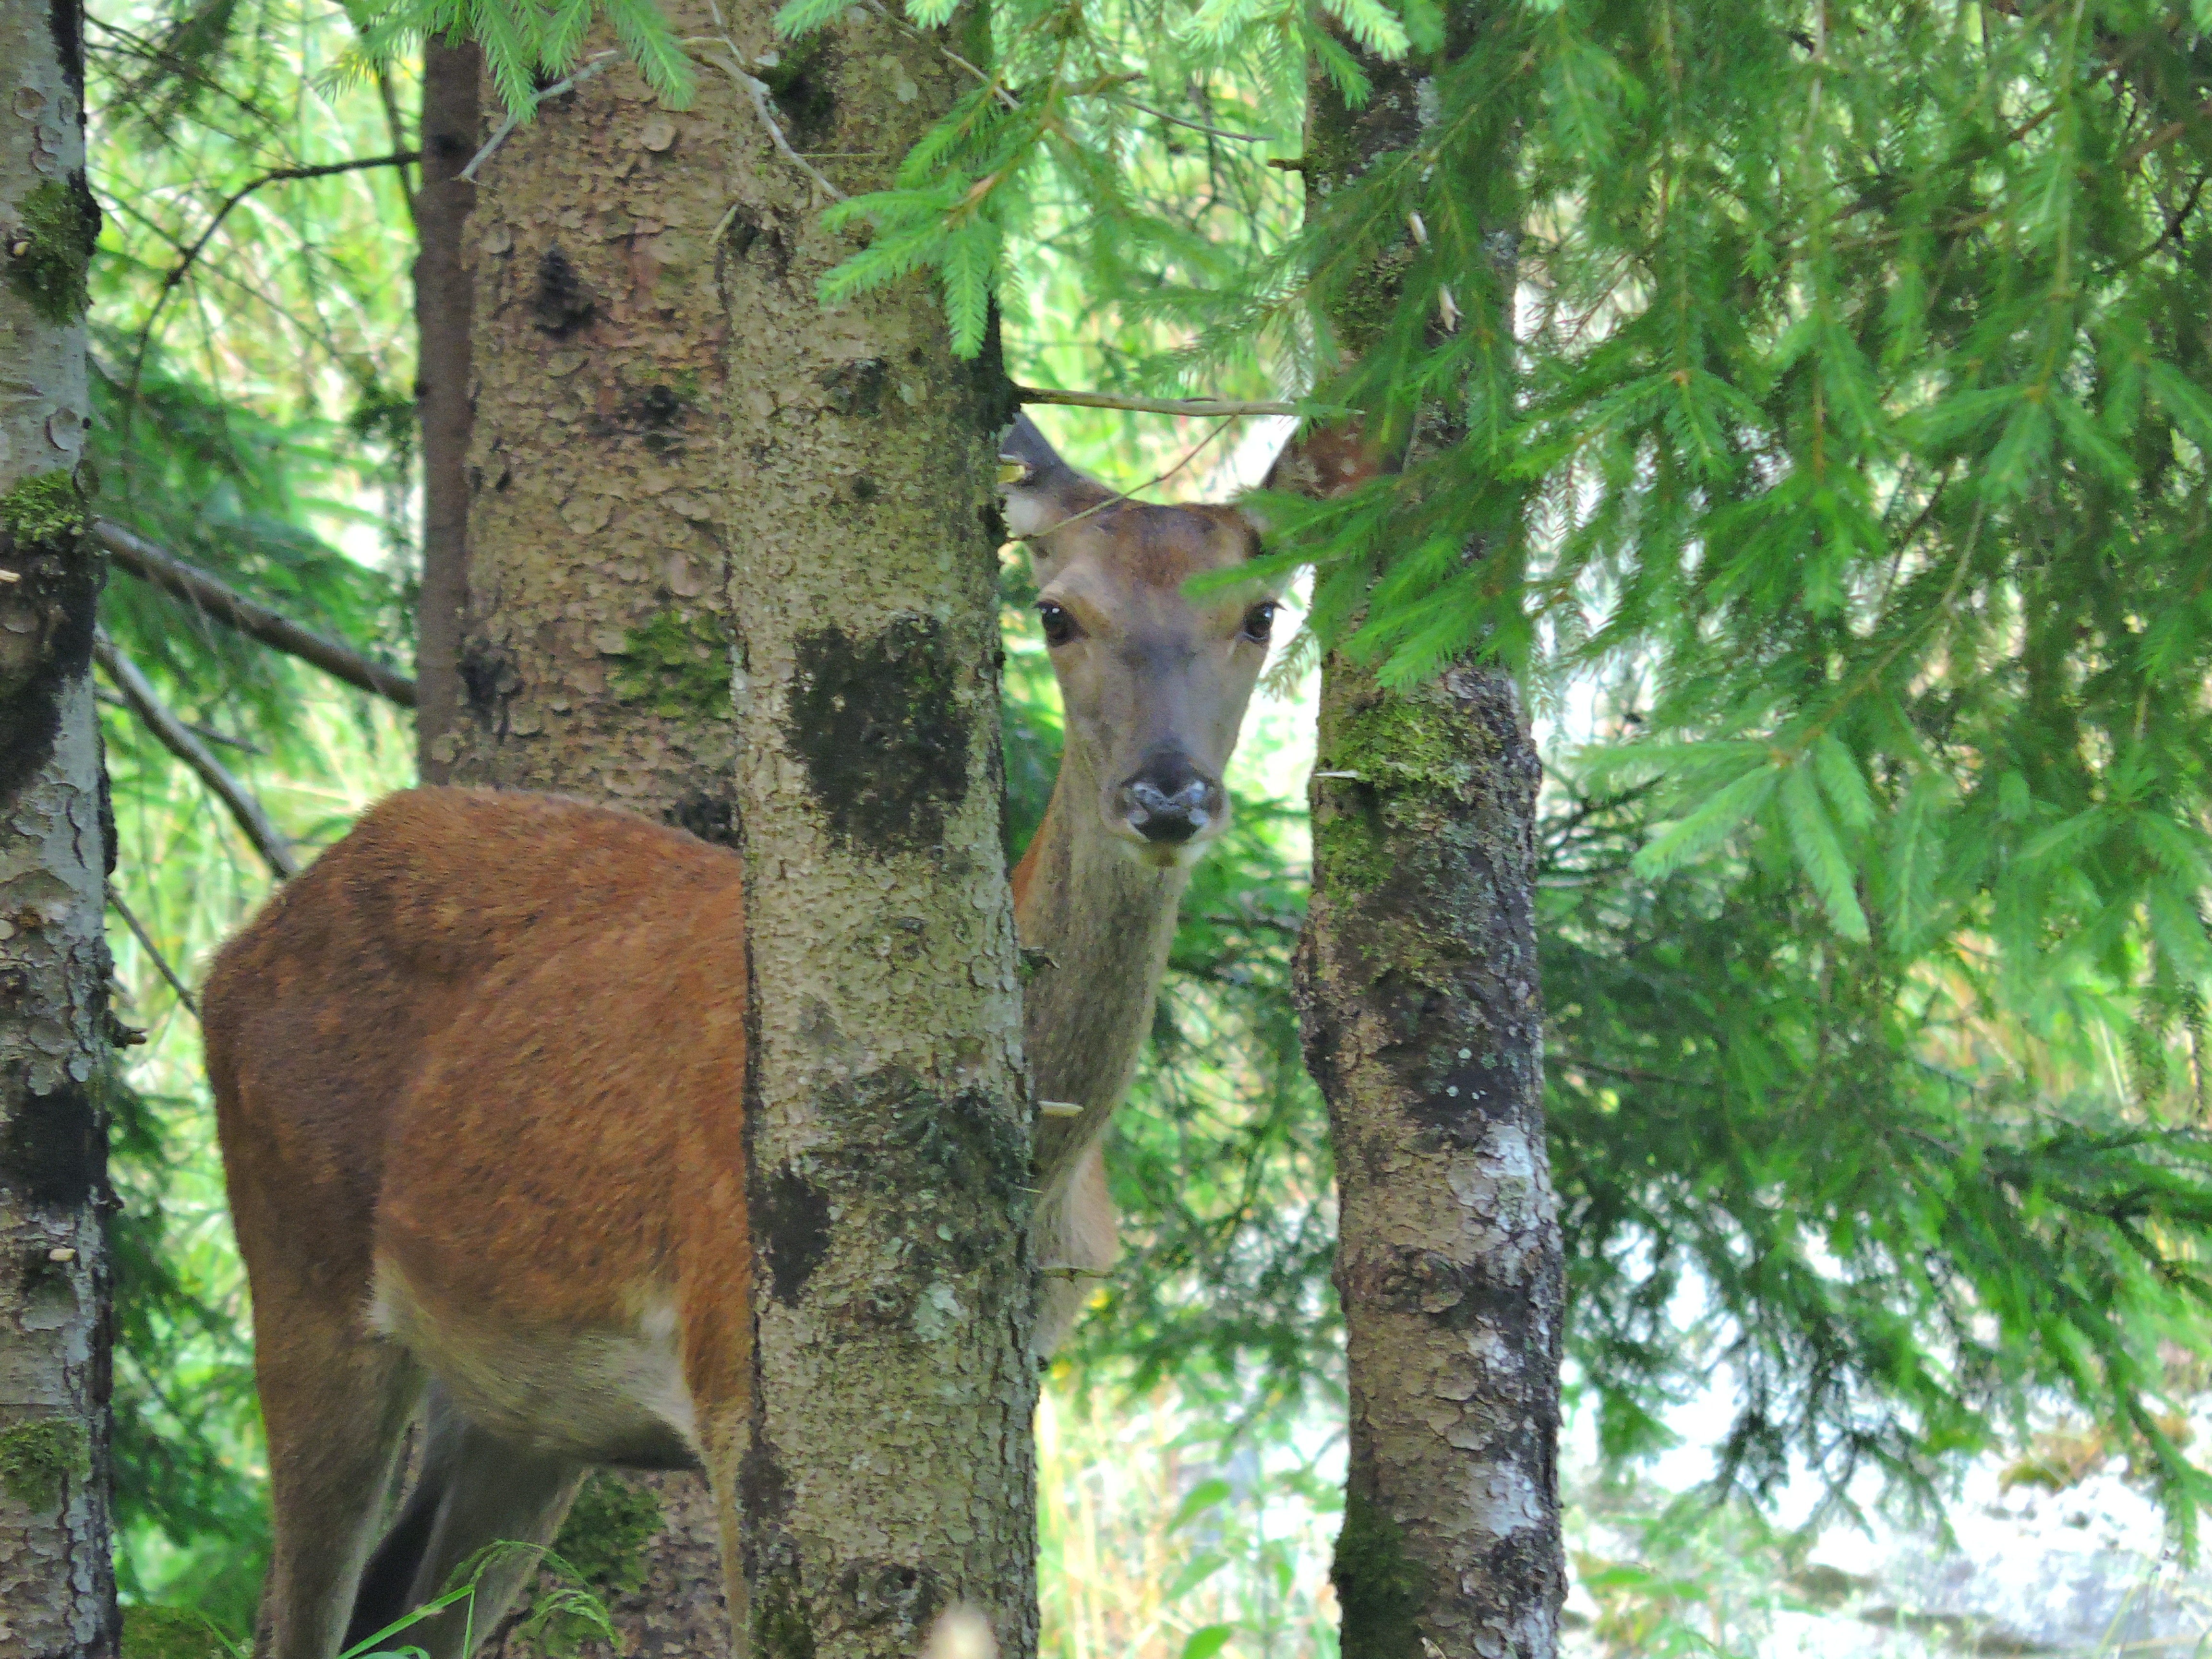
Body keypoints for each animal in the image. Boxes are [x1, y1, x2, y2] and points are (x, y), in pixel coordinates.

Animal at [203, 416, 1292, 1659]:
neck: (1051, 1171)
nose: (1167, 793)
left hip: (515, 1408)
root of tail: (236, 948)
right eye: (1057, 612)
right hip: (301, 1262)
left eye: (1263, 614)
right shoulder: (737, 1365)